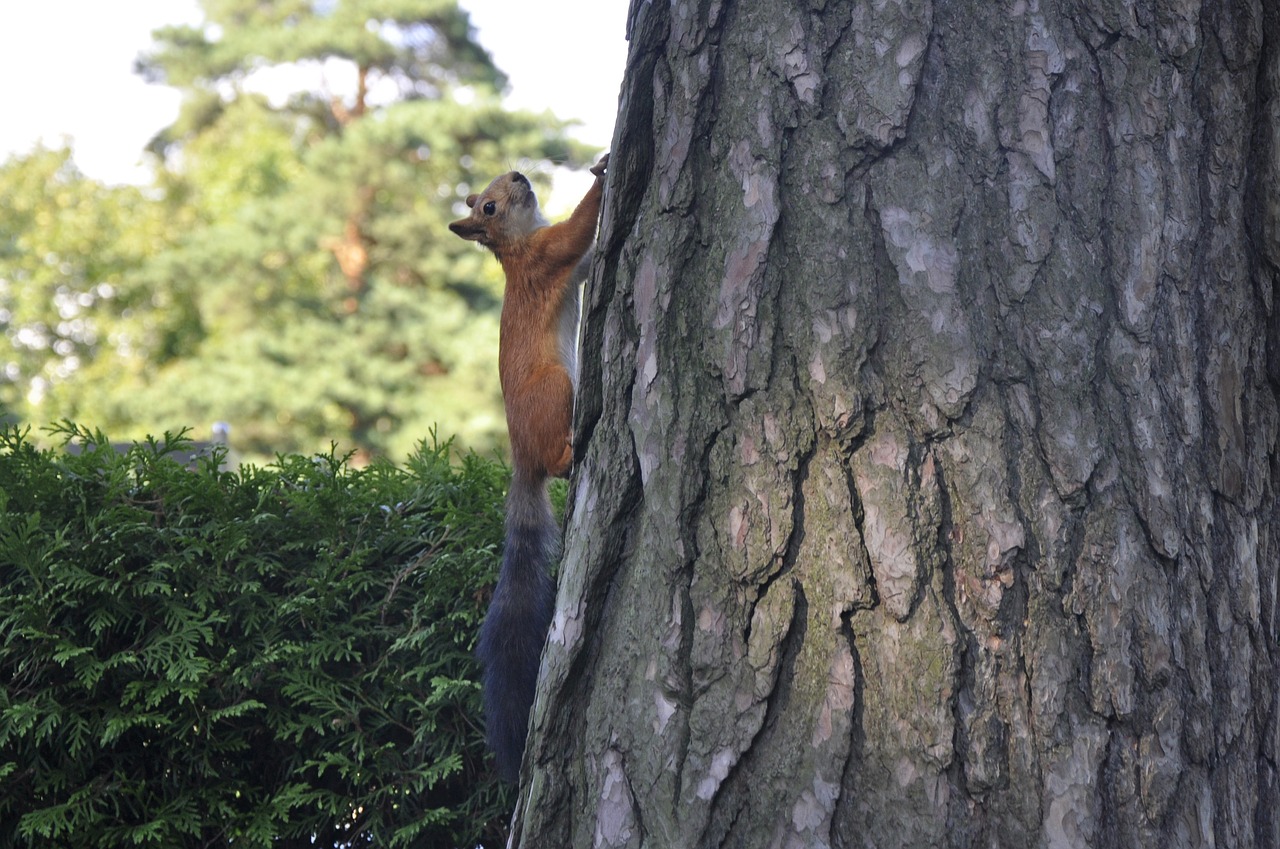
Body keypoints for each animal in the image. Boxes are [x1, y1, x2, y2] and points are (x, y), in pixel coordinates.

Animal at [450, 153, 609, 783]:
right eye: (488, 207)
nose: (518, 174)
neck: (515, 247)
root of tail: (520, 455)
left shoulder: (565, 261)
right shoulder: (548, 255)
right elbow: (577, 231)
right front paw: (604, 171)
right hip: (556, 389)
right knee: (558, 460)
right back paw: (571, 449)